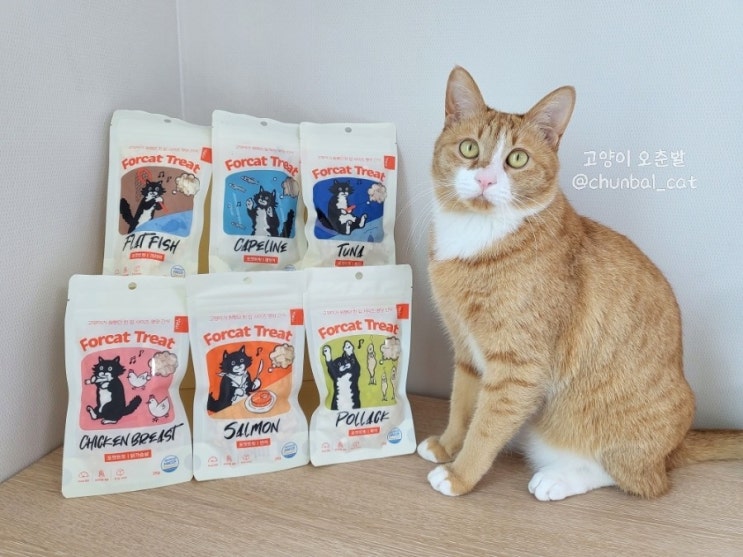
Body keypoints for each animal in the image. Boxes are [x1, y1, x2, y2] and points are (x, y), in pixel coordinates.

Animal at [417, 66, 743, 501]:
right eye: (469, 149)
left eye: (517, 158)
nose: (485, 180)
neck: (478, 237)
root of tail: (675, 447)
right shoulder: (466, 350)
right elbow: (461, 405)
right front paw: (448, 444)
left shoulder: (517, 370)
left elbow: (485, 428)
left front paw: (459, 474)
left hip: (611, 438)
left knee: (639, 479)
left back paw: (558, 478)